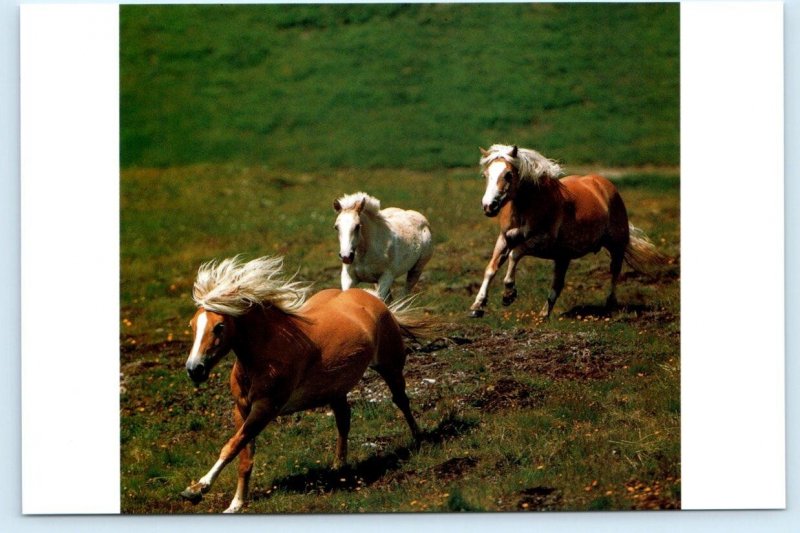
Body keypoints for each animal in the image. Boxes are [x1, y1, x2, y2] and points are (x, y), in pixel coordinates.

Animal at [179, 255, 427, 513]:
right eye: (192, 325)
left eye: (219, 326)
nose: (194, 369)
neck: (267, 353)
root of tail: (372, 298)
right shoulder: (242, 409)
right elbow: (243, 456)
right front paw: (235, 504)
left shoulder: (265, 409)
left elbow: (231, 447)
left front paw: (196, 489)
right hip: (336, 389)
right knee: (344, 420)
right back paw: (338, 466)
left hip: (390, 367)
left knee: (401, 400)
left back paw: (418, 439)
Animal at [469, 144, 665, 319]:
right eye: (486, 175)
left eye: (508, 174)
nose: (489, 206)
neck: (531, 205)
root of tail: (605, 185)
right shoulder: (504, 239)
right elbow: (491, 269)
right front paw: (477, 306)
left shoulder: (540, 242)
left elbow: (514, 254)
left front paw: (508, 293)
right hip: (563, 257)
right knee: (558, 284)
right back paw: (544, 315)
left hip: (616, 245)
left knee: (615, 271)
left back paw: (610, 305)